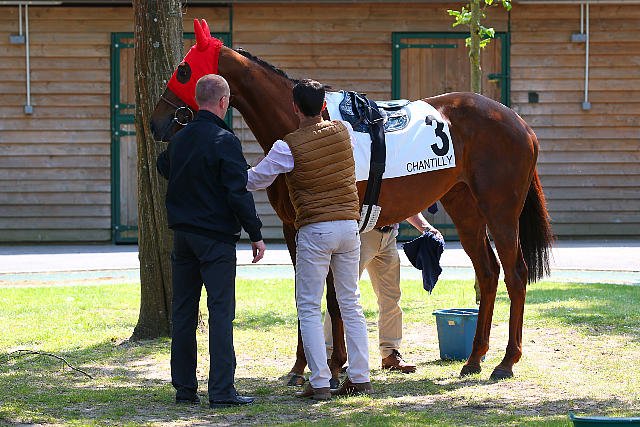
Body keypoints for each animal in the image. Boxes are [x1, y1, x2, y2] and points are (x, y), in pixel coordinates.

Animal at [150, 19, 553, 381]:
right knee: (488, 273)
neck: (303, 123)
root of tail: (519, 122)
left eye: (183, 70)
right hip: (465, 208)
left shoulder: (326, 226)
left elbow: (331, 296)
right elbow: (309, 295)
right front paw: (304, 367)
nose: (155, 122)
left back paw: (506, 362)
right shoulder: (295, 228)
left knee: (516, 274)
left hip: (500, 211)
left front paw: (332, 364)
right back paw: (474, 359)